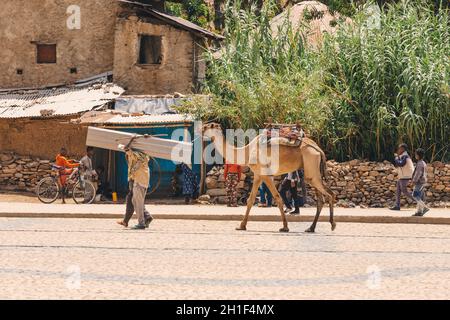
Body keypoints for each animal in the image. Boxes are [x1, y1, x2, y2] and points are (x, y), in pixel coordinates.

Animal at [202, 122, 336, 232]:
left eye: (207, 127)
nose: (200, 129)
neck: (247, 151)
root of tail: (318, 149)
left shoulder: (265, 174)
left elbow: (277, 197)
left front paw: (285, 227)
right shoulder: (258, 175)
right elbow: (250, 200)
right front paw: (242, 226)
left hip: (311, 167)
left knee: (330, 194)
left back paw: (332, 224)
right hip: (313, 171)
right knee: (321, 199)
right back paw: (311, 228)